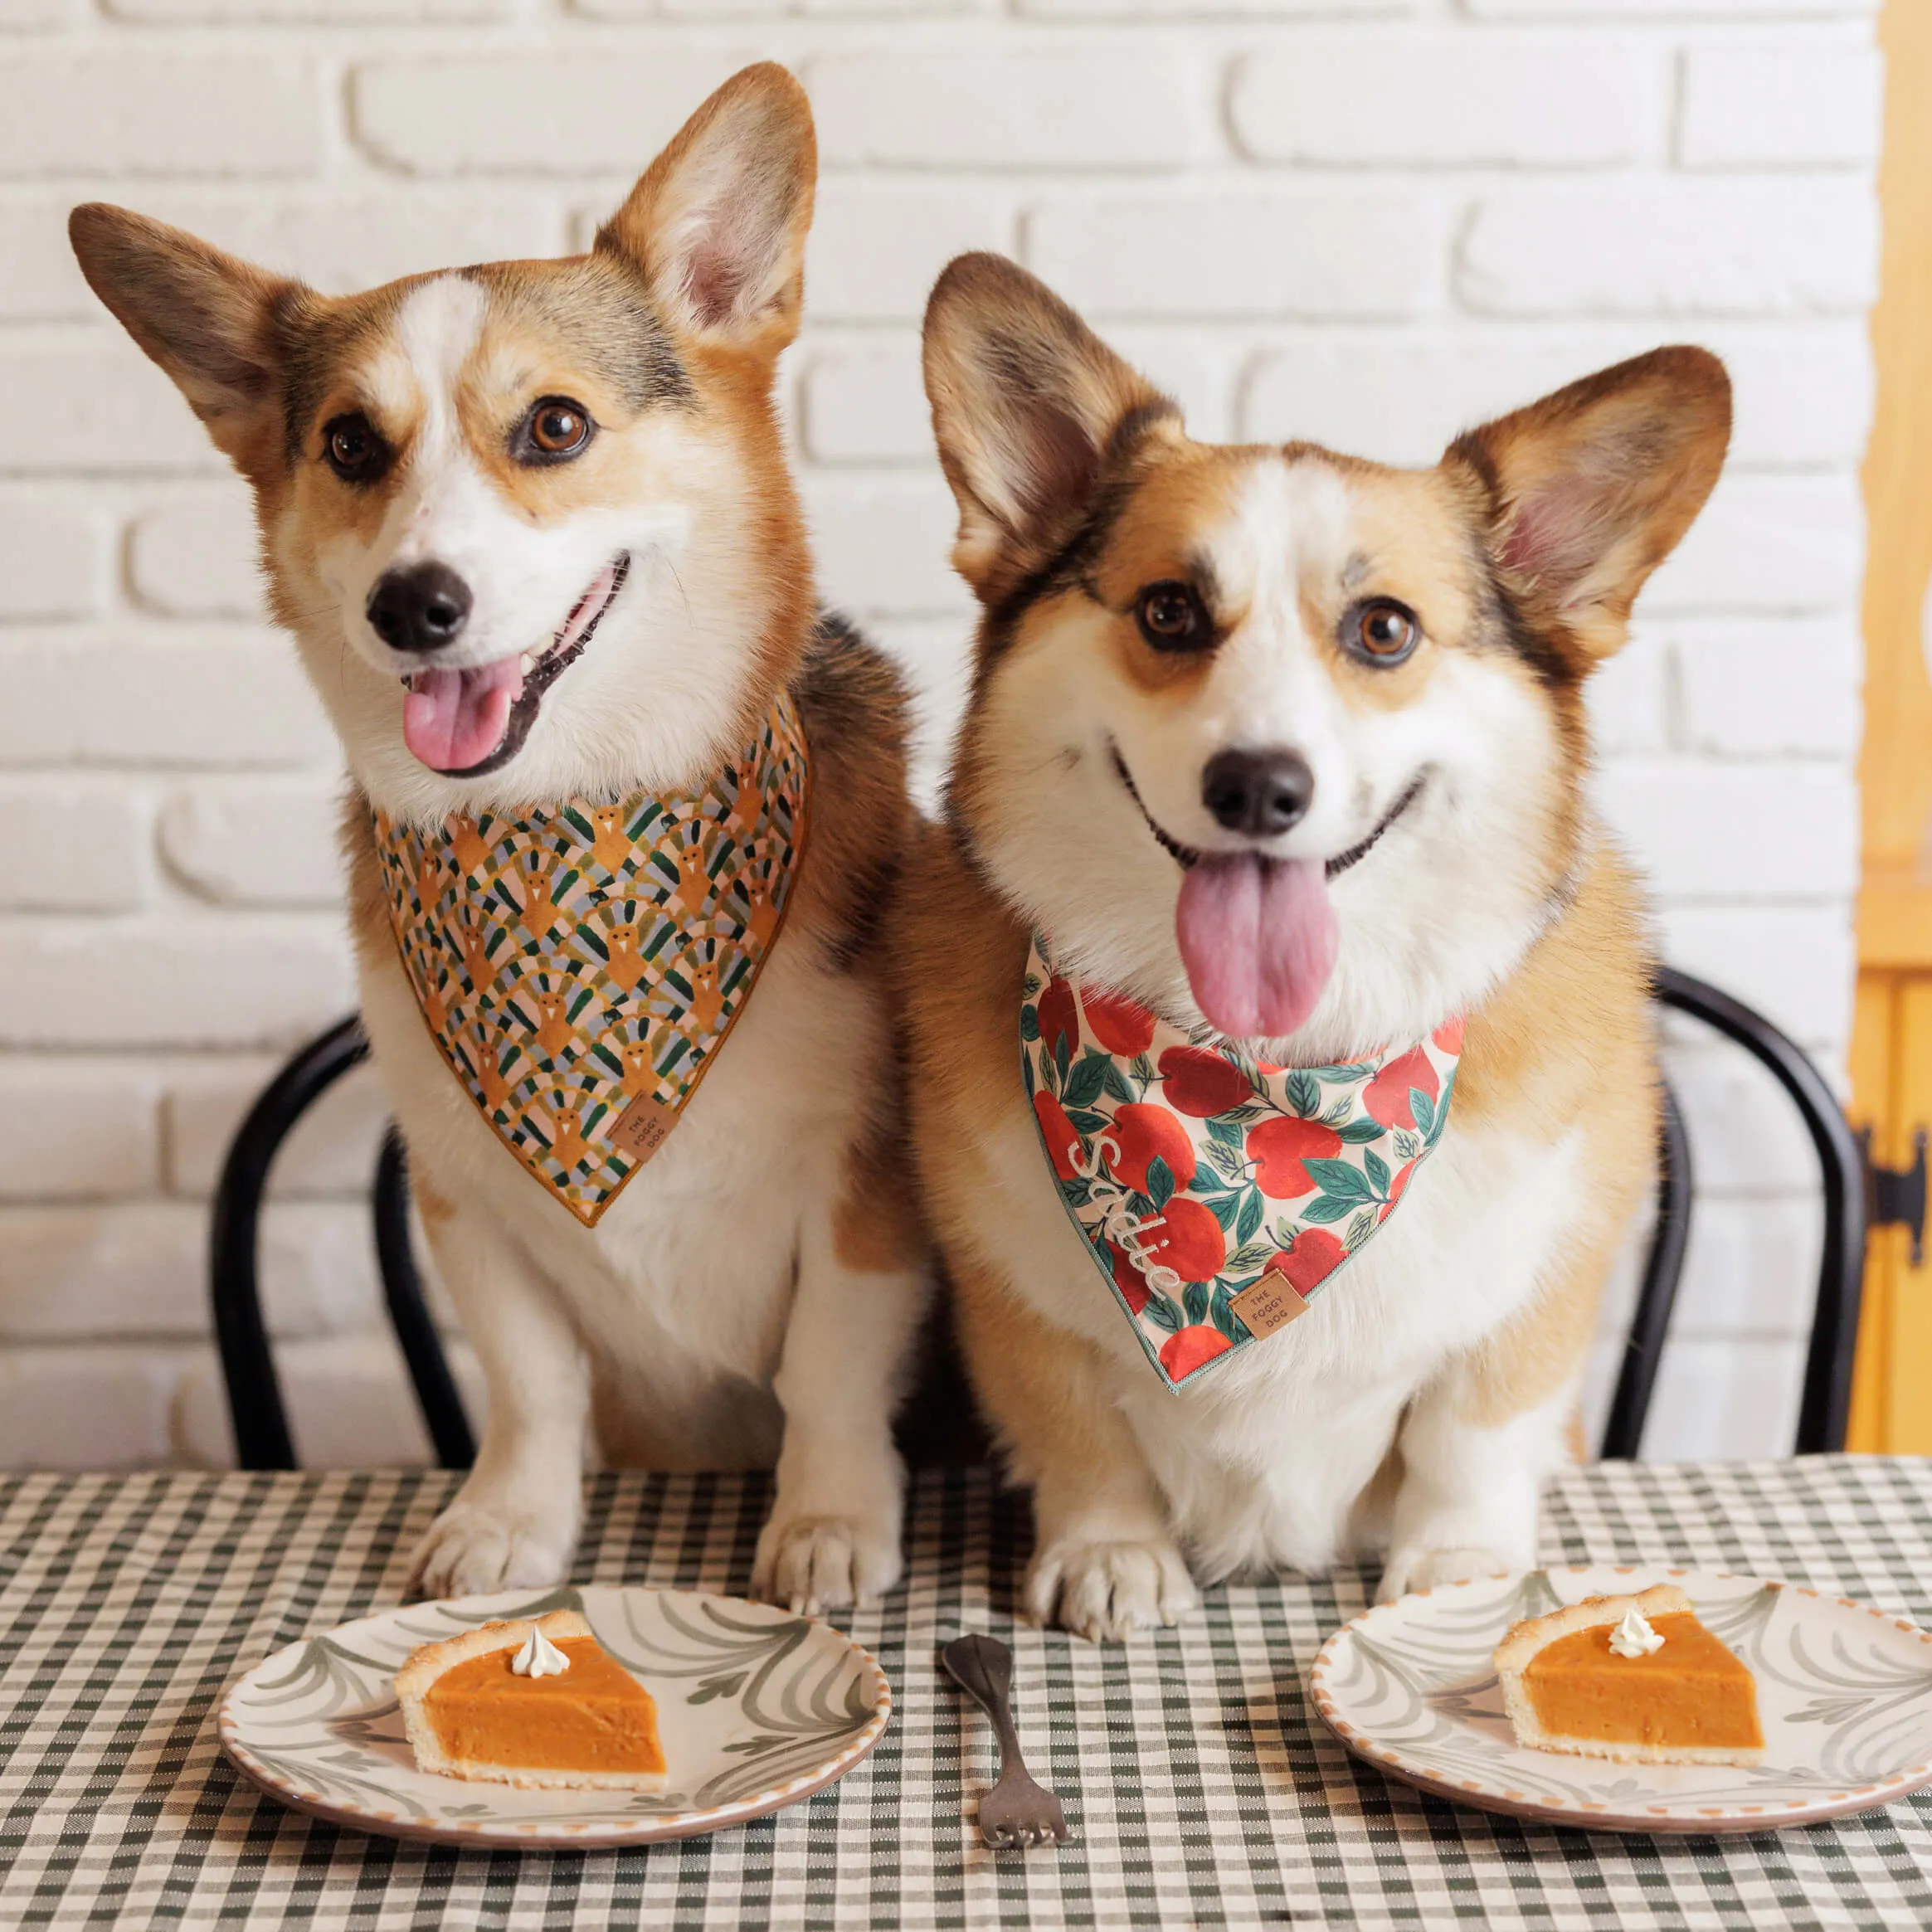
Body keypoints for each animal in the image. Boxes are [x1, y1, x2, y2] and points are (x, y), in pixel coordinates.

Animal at [79, 64, 938, 1615]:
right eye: (349, 445)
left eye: (552, 427)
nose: (414, 605)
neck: (565, 826)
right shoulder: (461, 1197)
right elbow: (531, 1385)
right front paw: (507, 1530)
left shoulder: (866, 1184)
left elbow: (830, 1368)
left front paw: (829, 1522)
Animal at [896, 253, 1730, 1646]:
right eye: (1169, 611)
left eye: (1383, 629)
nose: (1257, 787)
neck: (1257, 1082)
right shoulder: (1009, 1294)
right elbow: (1079, 1431)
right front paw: (1111, 1554)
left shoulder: (1540, 1284)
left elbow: (1472, 1429)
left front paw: (1459, 1570)